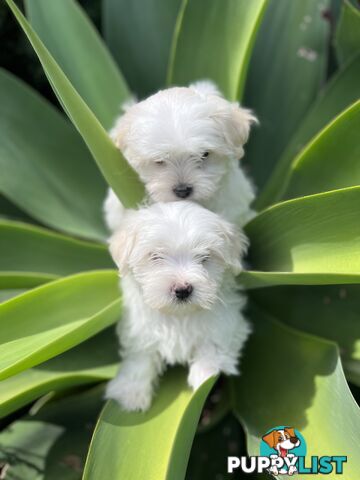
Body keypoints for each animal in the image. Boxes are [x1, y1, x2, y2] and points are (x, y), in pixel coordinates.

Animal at [105, 201, 252, 410]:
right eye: (156, 256)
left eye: (204, 257)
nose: (182, 289)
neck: (179, 315)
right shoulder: (139, 328)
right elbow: (139, 357)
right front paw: (131, 393)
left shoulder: (227, 322)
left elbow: (214, 343)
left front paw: (205, 374)